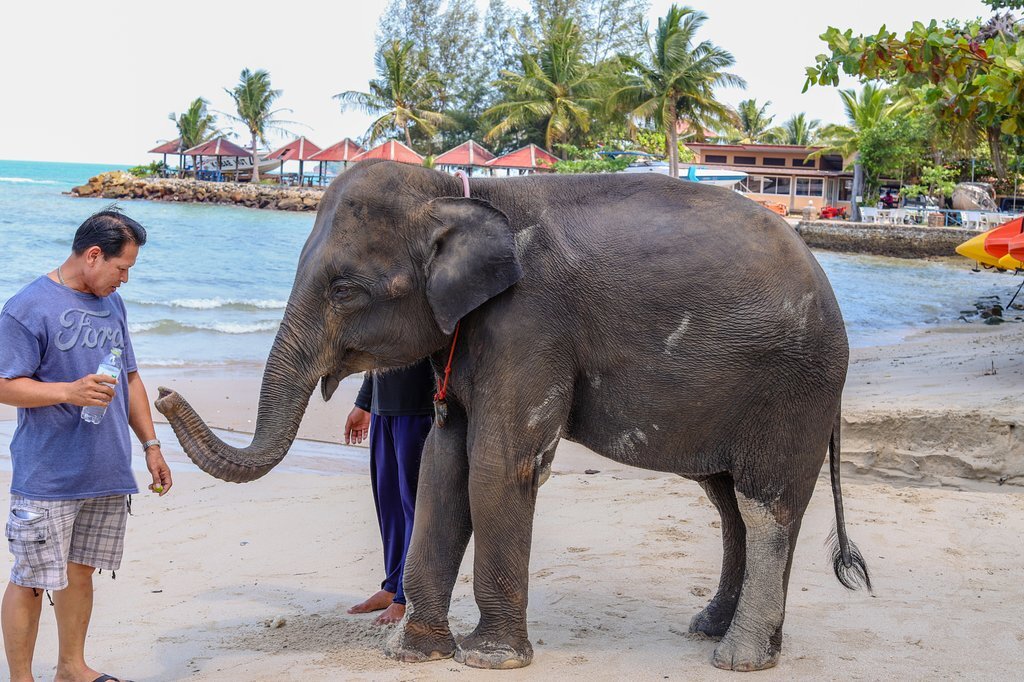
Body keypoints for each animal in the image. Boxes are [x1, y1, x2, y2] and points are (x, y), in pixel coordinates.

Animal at [155, 159, 868, 667]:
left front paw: (490, 659)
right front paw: (412, 651)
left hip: (792, 390)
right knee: (728, 504)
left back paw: (737, 658)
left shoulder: (528, 322)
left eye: (345, 289)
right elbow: (443, 461)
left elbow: (498, 464)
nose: (162, 393)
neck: (458, 192)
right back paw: (714, 634)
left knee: (764, 505)